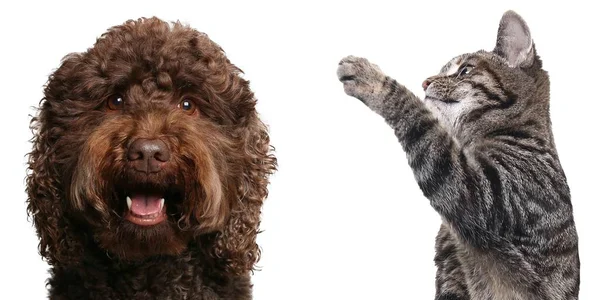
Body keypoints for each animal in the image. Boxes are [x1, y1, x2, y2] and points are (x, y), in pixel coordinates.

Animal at [338, 10, 576, 298]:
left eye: (464, 71)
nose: (425, 82)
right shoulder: (450, 269)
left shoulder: (478, 194)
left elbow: (420, 120)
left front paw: (373, 79)